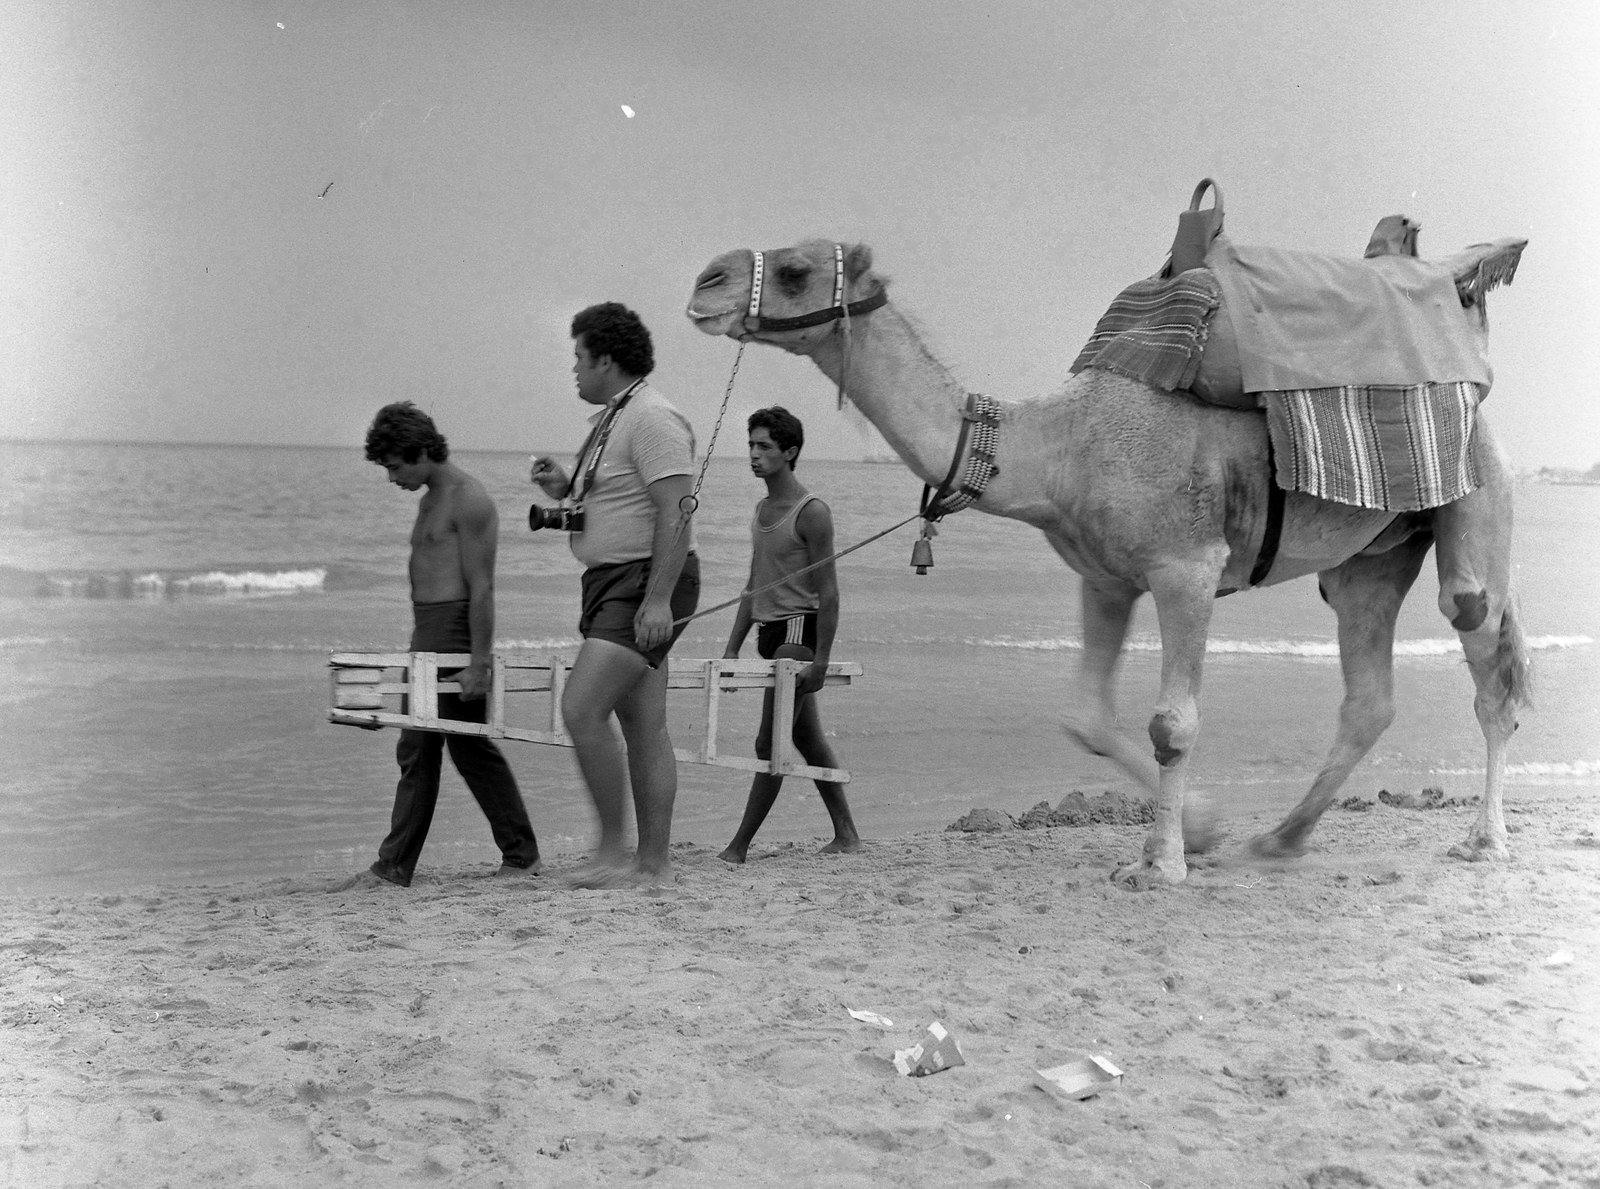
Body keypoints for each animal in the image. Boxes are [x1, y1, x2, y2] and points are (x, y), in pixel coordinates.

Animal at [685, 238, 1531, 887]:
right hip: (1370, 558)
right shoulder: (1104, 577)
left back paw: (1484, 841)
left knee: (1482, 648)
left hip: (1477, 494)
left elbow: (1172, 723)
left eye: (795, 270)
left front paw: (1160, 862)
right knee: (1369, 694)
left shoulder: (1187, 565)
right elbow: (1086, 715)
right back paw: (1280, 838)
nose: (706, 282)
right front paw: (1206, 827)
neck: (1057, 448)